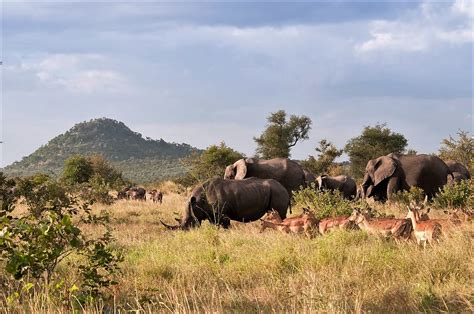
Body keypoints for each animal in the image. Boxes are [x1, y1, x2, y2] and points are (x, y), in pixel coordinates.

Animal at [161, 177, 290, 231]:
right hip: (275, 191)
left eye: (189, 223)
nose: (187, 233)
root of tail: (285, 189)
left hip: (278, 192)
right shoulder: (212, 215)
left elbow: (226, 227)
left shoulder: (223, 215)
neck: (198, 201)